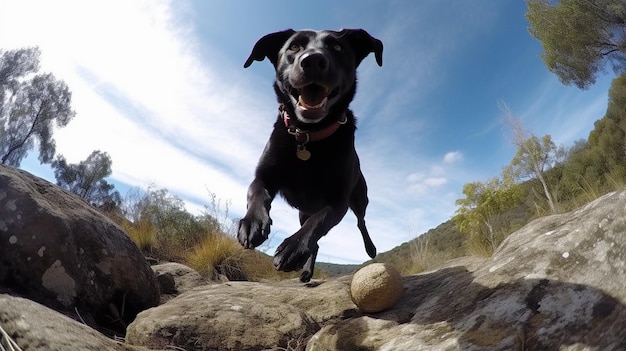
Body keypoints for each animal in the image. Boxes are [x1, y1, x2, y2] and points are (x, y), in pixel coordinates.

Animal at [238, 29, 380, 284]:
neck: (308, 136)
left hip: (359, 197)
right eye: (294, 47)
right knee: (317, 243)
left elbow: (320, 220)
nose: (313, 61)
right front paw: (252, 223)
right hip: (303, 212)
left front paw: (293, 247)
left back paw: (370, 248)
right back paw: (305, 271)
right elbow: (256, 192)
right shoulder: (264, 176)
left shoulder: (339, 200)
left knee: (360, 222)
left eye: (337, 48)